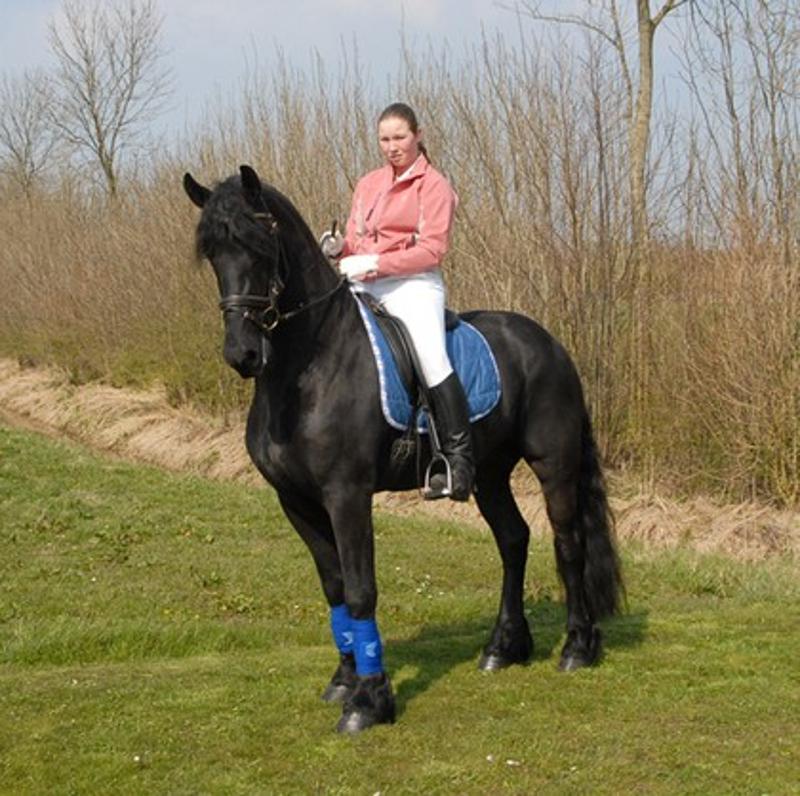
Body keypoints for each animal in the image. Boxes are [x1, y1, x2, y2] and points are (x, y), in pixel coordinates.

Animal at [182, 164, 623, 734]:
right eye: (213, 253)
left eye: (260, 246)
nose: (243, 354)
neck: (307, 367)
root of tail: (547, 341)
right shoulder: (296, 501)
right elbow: (335, 588)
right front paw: (344, 680)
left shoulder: (347, 495)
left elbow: (361, 590)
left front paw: (369, 701)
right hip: (488, 474)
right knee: (513, 540)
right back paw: (503, 647)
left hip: (554, 464)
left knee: (569, 543)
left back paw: (577, 647)